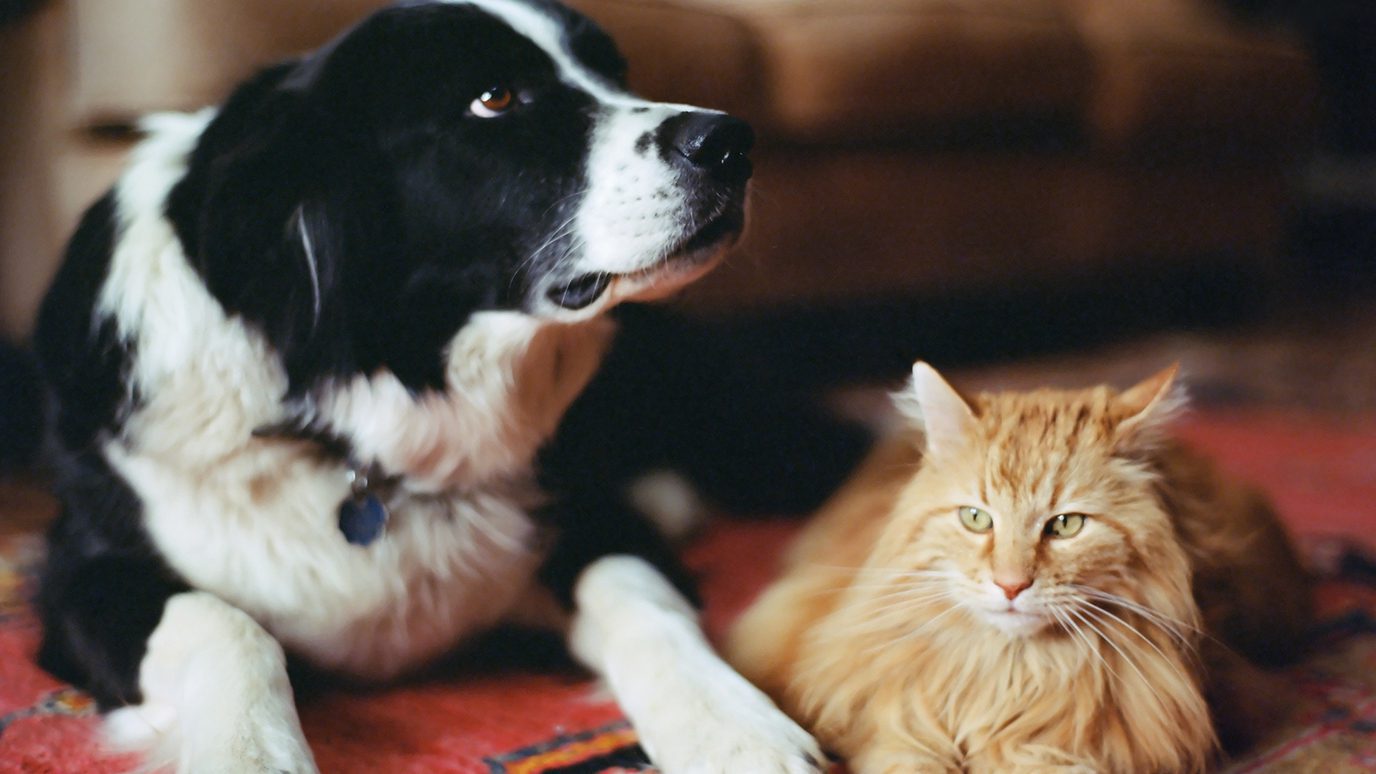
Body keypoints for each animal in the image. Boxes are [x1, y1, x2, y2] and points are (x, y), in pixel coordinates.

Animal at [32, 3, 825, 765]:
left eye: (615, 72)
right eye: (494, 97)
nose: (732, 142)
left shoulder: (593, 520)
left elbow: (640, 598)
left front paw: (735, 729)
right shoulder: (80, 574)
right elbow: (222, 624)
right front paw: (248, 753)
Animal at [726, 360, 1315, 771]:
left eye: (1065, 525)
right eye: (976, 518)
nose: (1010, 585)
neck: (1007, 671)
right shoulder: (884, 713)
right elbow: (904, 752)